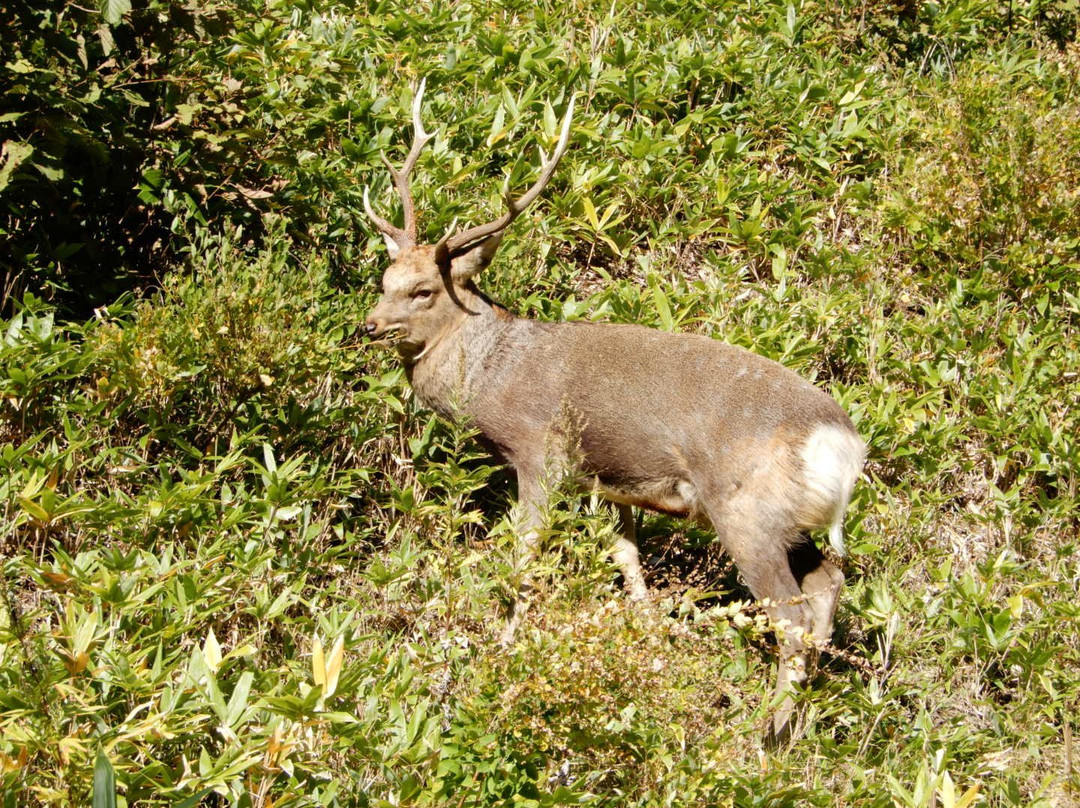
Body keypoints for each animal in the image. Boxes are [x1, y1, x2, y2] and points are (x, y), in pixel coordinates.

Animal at [362, 82, 868, 743]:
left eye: (423, 291)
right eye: (385, 277)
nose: (369, 325)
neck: (493, 370)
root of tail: (842, 444)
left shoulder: (542, 454)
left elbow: (524, 557)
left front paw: (504, 650)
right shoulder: (610, 482)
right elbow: (627, 557)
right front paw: (647, 642)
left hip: (745, 510)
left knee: (796, 615)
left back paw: (763, 732)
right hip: (788, 519)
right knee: (829, 584)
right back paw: (801, 724)